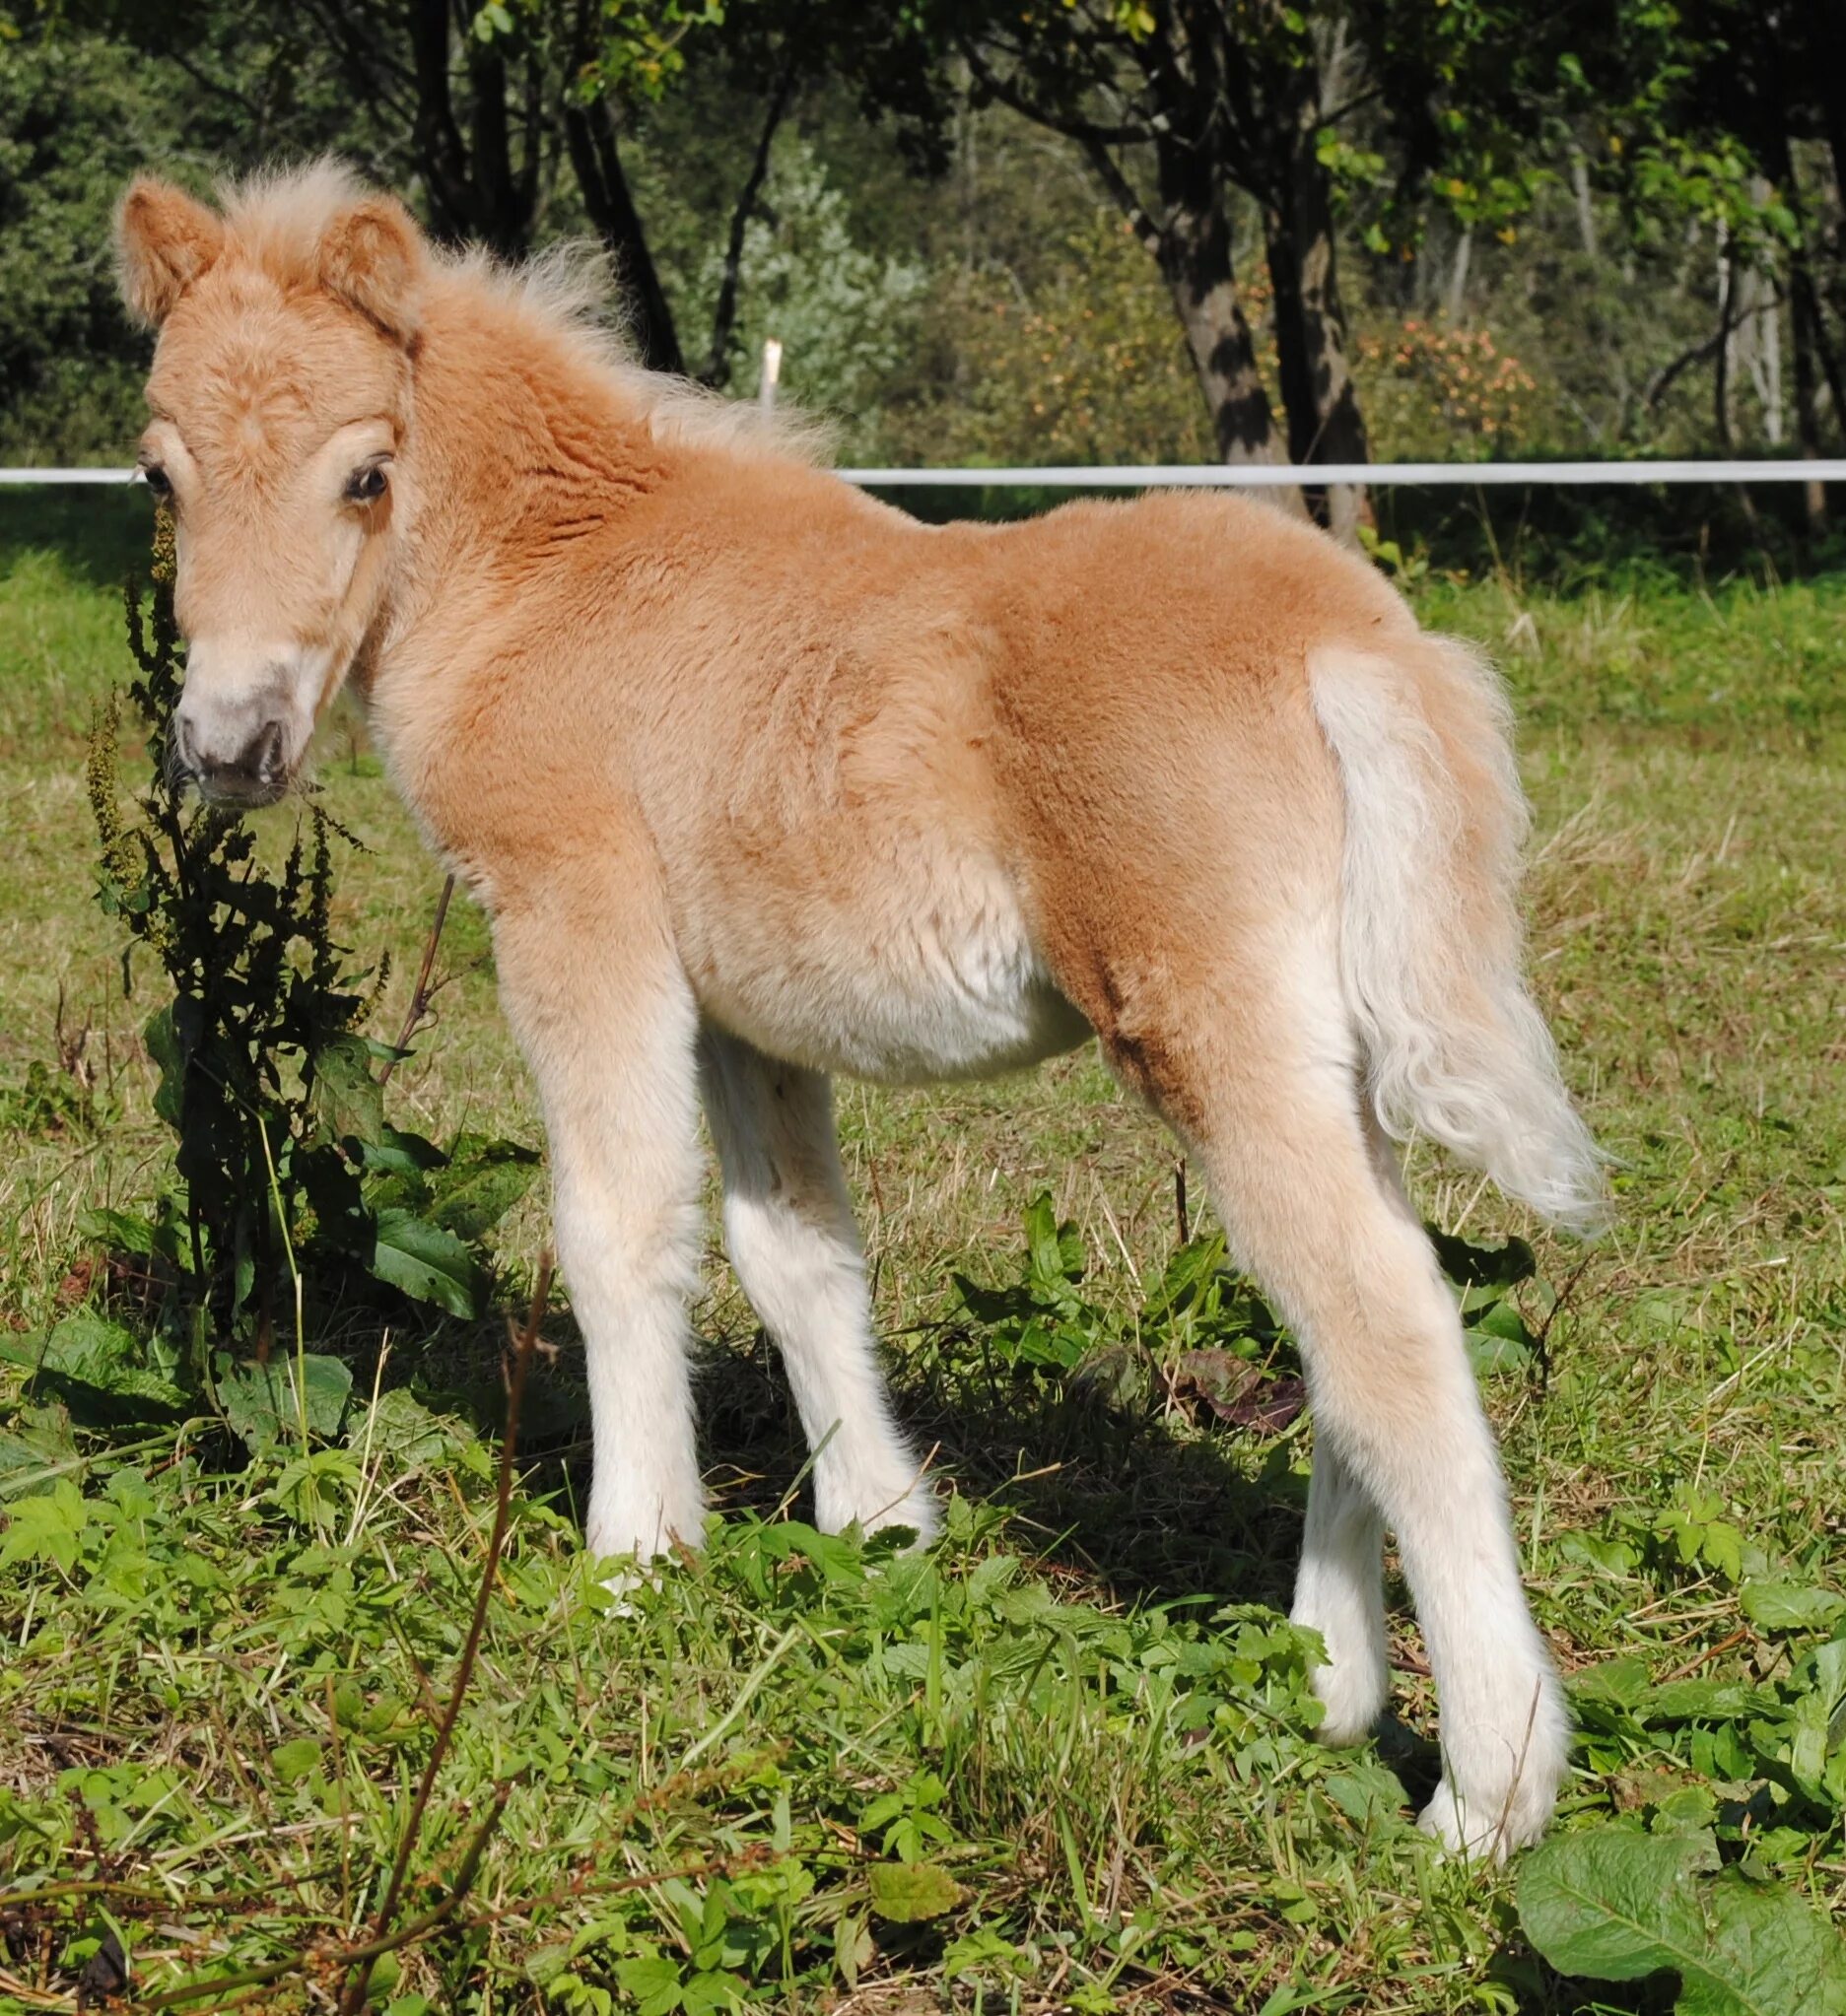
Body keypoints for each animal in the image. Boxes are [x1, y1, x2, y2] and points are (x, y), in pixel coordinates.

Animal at [115, 168, 1606, 1854]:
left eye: (368, 473)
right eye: (161, 477)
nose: (228, 747)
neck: (557, 571)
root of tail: (1354, 640)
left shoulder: (578, 913)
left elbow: (618, 1226)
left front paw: (635, 1558)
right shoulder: (742, 1004)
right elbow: (793, 1250)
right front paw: (881, 1525)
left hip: (1212, 1027)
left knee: (1380, 1323)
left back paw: (1487, 1794)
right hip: (1318, 1047)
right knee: (1358, 1302)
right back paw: (1325, 1680)